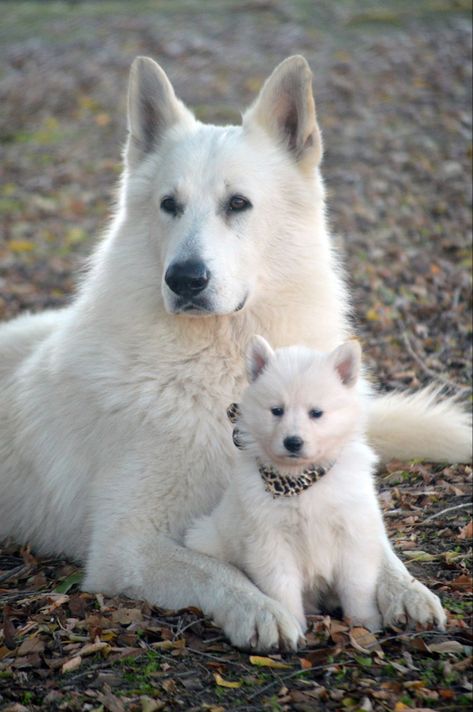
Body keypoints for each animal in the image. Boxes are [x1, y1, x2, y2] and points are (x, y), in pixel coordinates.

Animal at [185, 336, 410, 636]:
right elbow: (282, 587)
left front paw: (363, 622)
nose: (293, 442)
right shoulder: (269, 539)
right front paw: (293, 624)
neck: (300, 481)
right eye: (276, 411)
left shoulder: (352, 531)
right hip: (208, 539)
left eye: (316, 413)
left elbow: (356, 583)